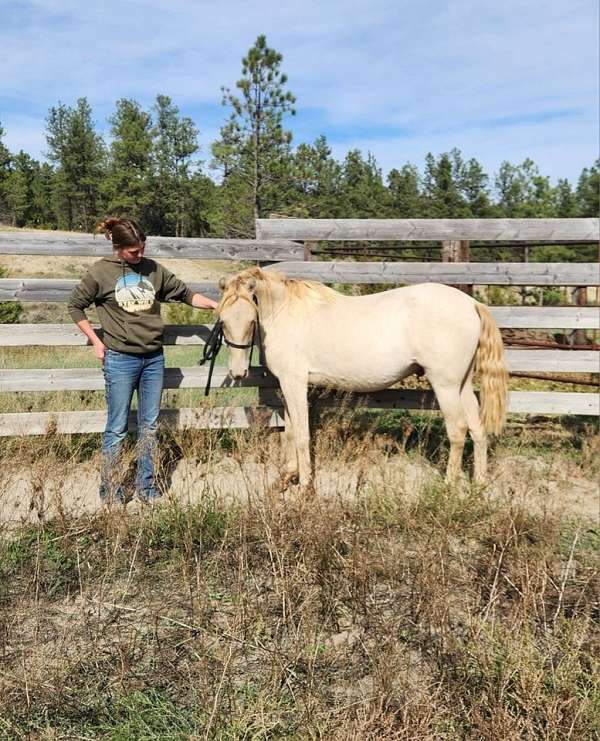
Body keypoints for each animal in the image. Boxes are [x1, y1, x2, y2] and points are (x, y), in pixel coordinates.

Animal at [216, 268, 506, 488]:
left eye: (251, 320)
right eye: (223, 321)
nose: (238, 373)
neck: (285, 312)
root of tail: (472, 304)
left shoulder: (295, 383)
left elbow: (301, 435)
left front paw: (305, 485)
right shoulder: (287, 386)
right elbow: (289, 432)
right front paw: (288, 477)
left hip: (445, 385)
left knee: (457, 430)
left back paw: (448, 485)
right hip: (462, 385)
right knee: (477, 429)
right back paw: (479, 484)